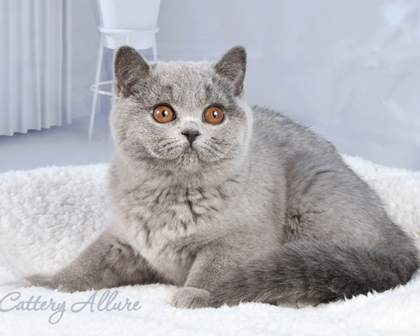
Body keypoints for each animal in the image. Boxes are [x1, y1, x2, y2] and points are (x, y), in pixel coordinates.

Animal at [27, 46, 418, 308]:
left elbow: (213, 268)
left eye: (213, 114)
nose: (191, 132)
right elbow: (88, 262)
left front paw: (195, 294)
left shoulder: (240, 240)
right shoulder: (125, 237)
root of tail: (401, 242)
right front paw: (43, 283)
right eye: (163, 113)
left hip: (312, 191)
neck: (171, 196)